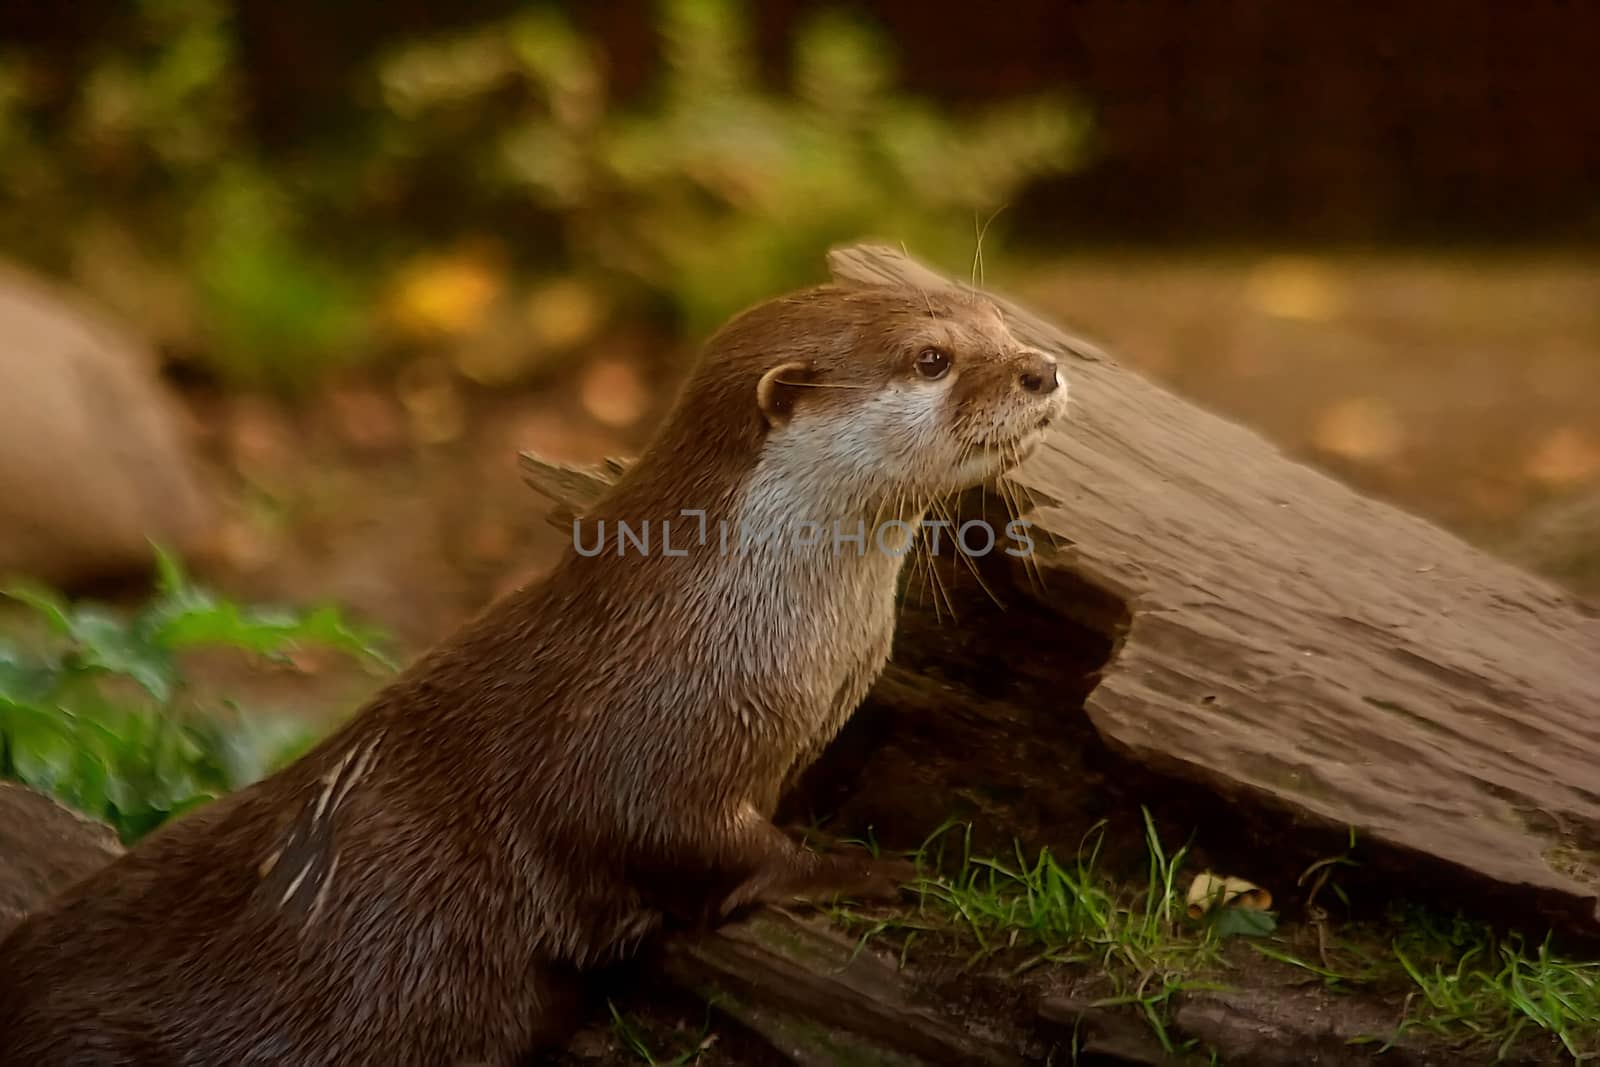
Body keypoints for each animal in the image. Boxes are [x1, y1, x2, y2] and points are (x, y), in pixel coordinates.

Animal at [3, 278, 1075, 1067]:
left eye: (996, 316)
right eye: (933, 358)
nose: (1043, 367)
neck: (721, 627)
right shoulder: (638, 751)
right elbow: (694, 845)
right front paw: (869, 868)